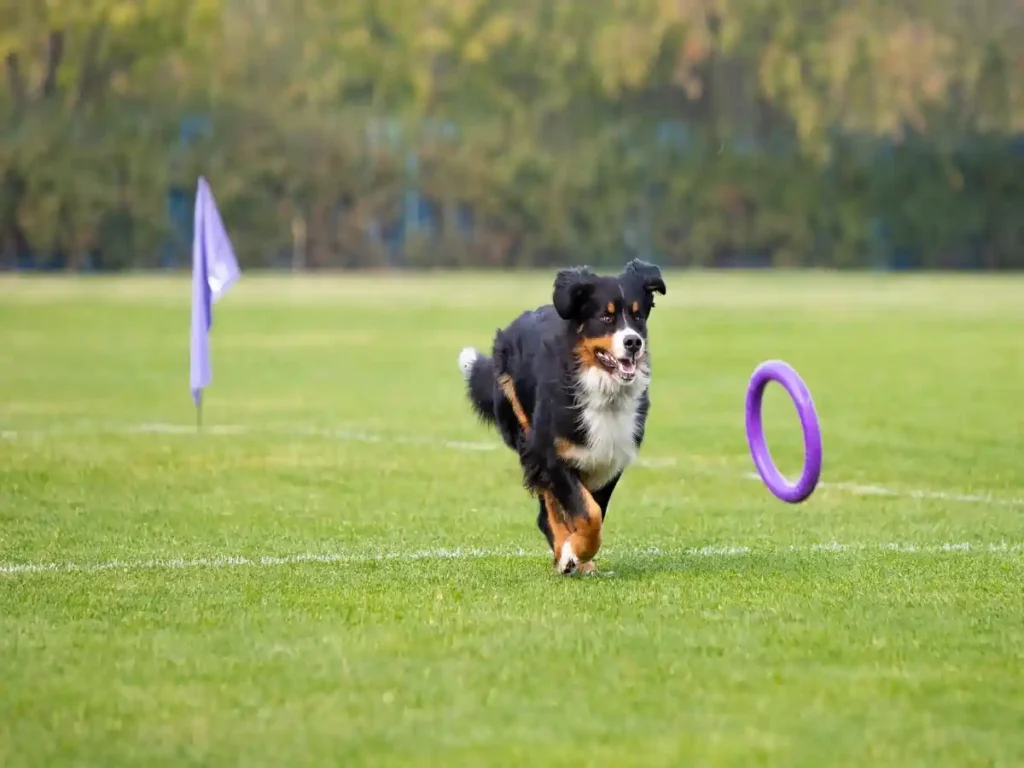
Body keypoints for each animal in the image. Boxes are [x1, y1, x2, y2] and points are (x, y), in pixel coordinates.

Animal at [456, 262, 663, 573]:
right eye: (606, 317)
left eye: (637, 316)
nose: (633, 342)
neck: (602, 390)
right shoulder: (550, 454)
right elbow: (588, 514)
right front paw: (572, 553)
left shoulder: (609, 458)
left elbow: (594, 512)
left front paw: (581, 555)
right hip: (526, 434)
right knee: (548, 511)